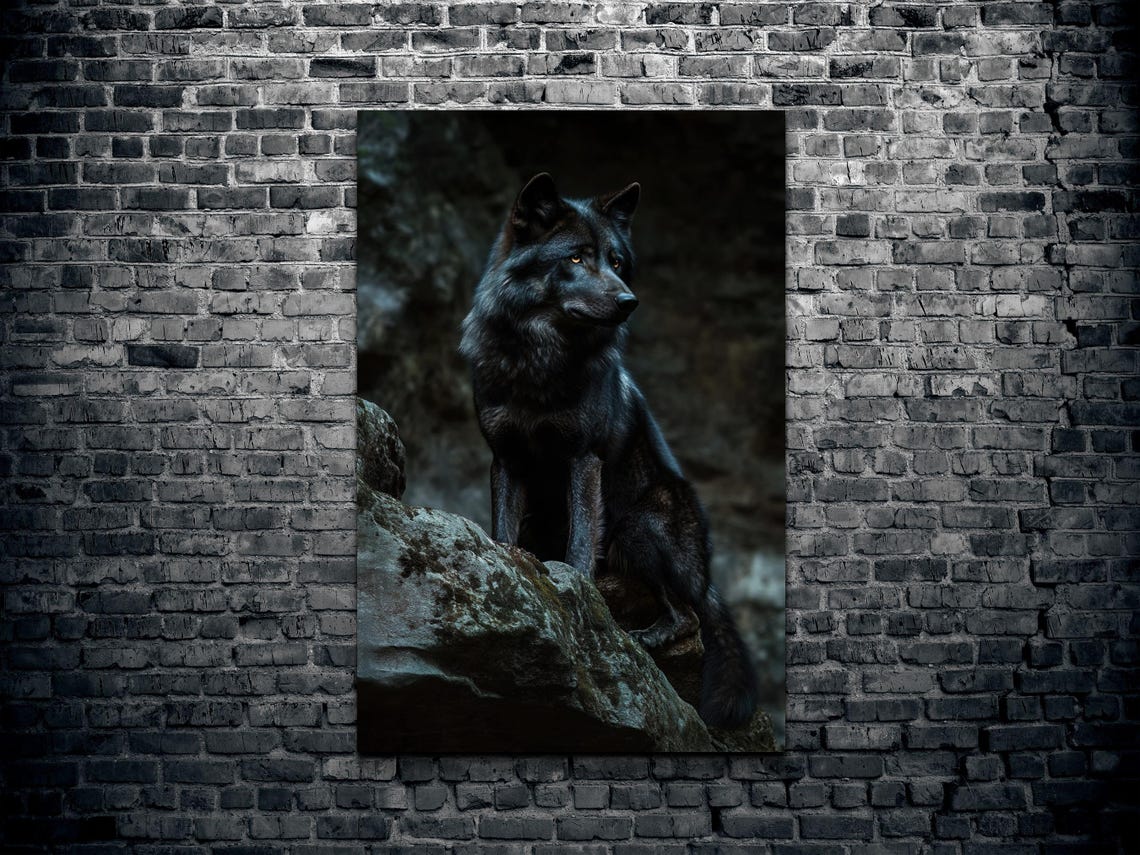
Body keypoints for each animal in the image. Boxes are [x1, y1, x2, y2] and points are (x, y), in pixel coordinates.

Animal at [459, 173, 759, 728]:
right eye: (576, 258)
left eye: (617, 262)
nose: (628, 301)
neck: (541, 362)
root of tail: (705, 574)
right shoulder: (506, 459)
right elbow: (502, 530)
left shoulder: (583, 458)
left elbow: (581, 540)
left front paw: (575, 590)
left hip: (638, 528)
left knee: (688, 619)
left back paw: (647, 639)